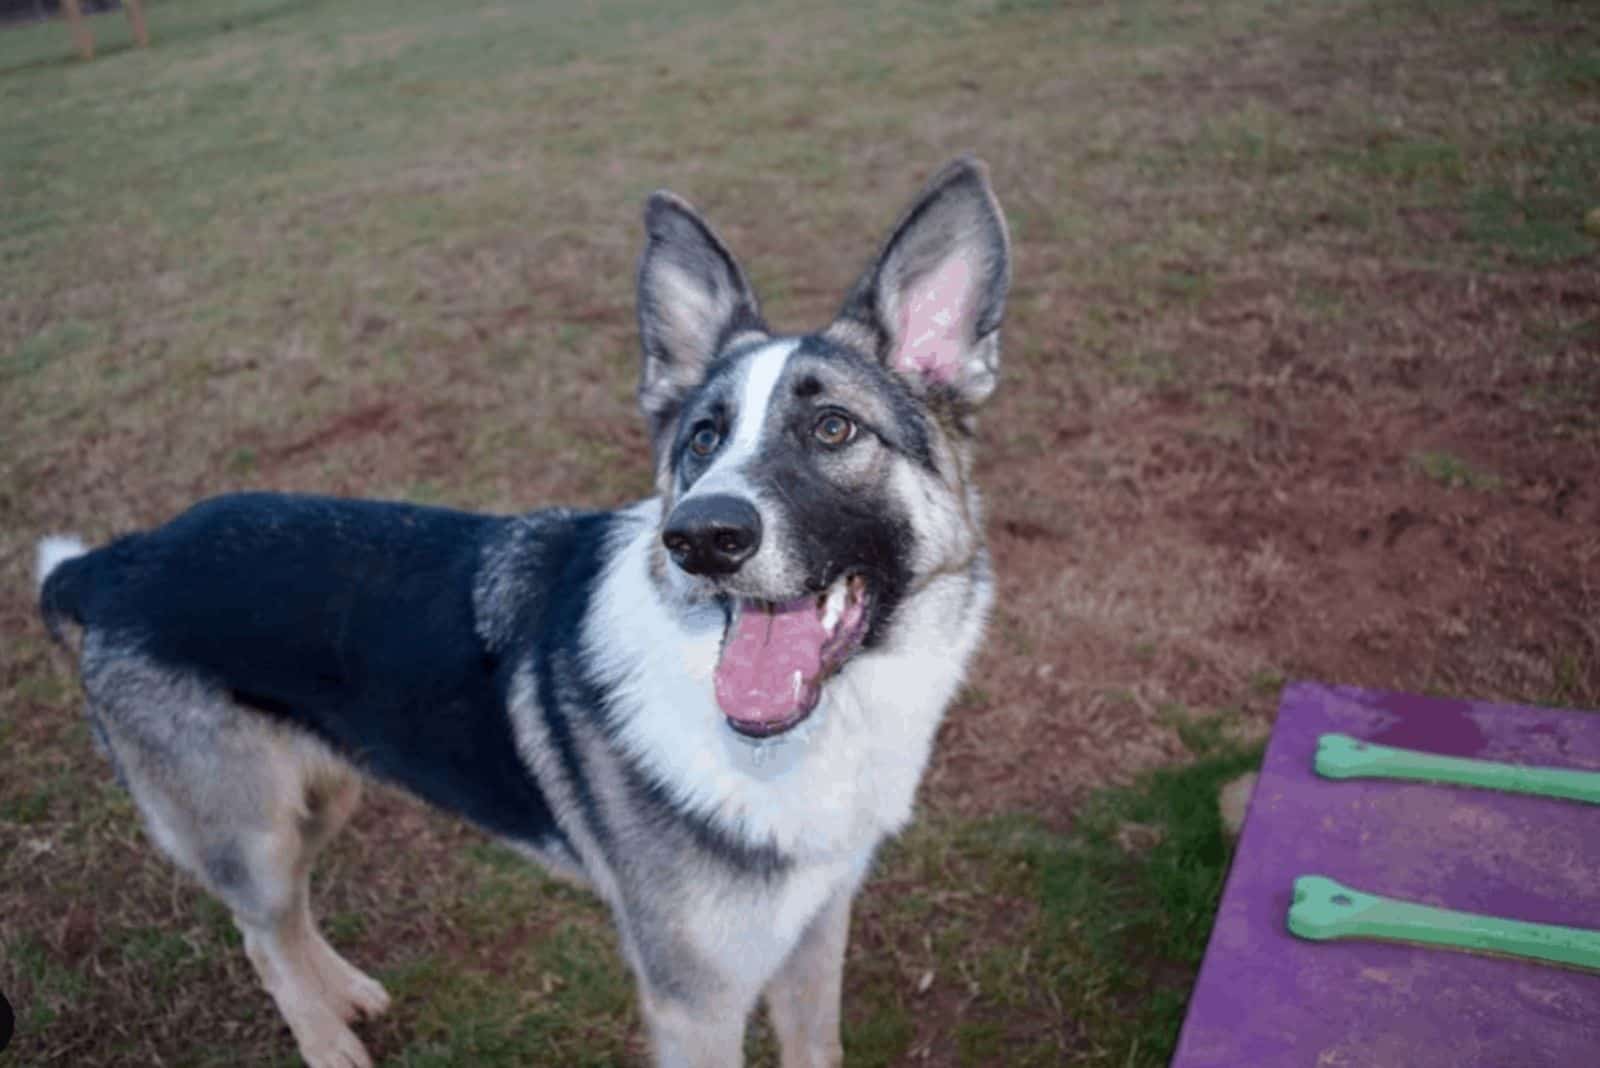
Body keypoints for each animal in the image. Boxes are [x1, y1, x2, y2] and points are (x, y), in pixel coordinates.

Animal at [34, 158, 1011, 1068]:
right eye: (703, 439)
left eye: (835, 429)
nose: (698, 538)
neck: (808, 737)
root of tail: (117, 560)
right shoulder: (693, 1002)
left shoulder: (813, 931)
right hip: (252, 831)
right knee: (259, 934)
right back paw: (325, 1039)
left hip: (325, 791)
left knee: (291, 914)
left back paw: (345, 992)